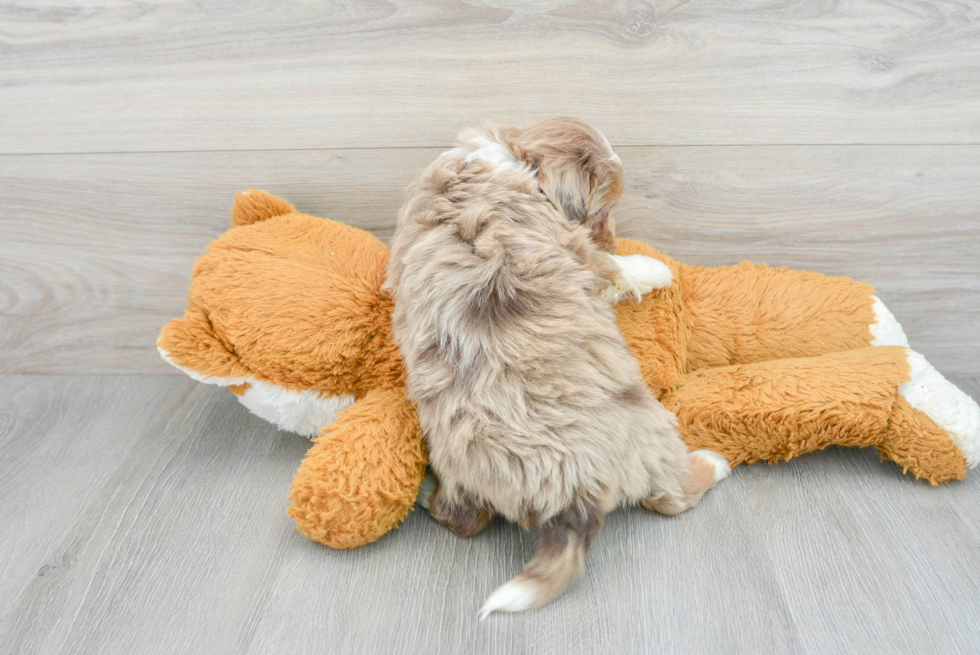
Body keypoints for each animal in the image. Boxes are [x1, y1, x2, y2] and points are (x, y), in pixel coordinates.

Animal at [382, 119, 728, 620]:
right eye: (604, 207)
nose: (614, 236)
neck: (515, 159)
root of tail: (569, 497)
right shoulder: (582, 255)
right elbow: (618, 268)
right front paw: (655, 267)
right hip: (654, 434)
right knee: (673, 497)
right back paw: (713, 463)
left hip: (461, 468)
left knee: (463, 518)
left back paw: (428, 493)